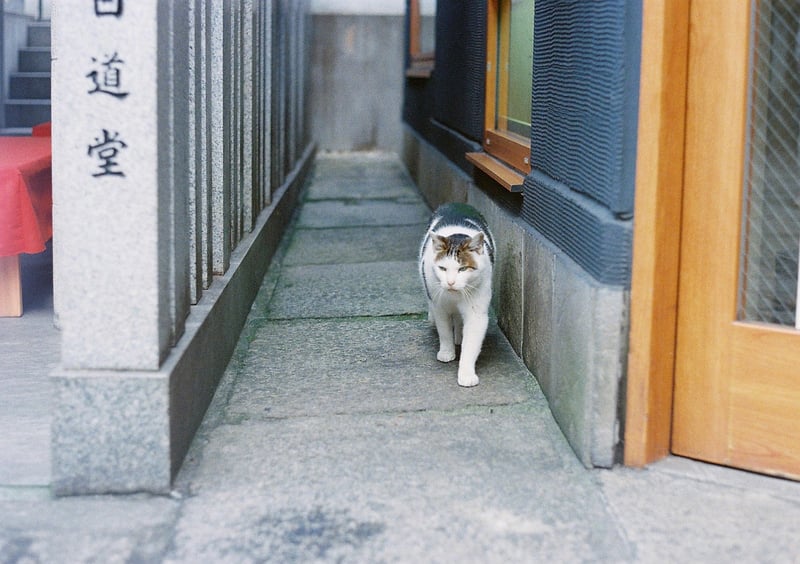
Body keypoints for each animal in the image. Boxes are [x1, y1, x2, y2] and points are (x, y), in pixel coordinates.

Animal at [418, 203, 494, 388]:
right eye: (442, 268)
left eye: (463, 269)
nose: (451, 282)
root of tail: (456, 204)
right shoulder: (439, 306)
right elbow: (444, 330)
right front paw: (446, 352)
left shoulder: (476, 312)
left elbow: (471, 343)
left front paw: (466, 374)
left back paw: (459, 336)